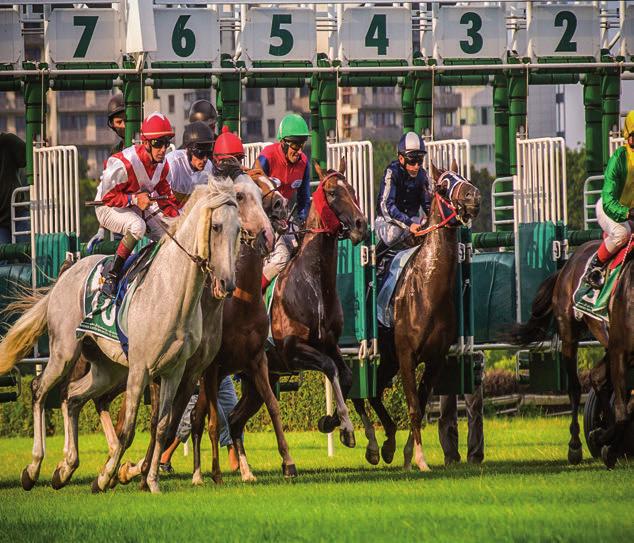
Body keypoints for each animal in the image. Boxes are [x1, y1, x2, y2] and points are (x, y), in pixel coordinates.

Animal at [350, 163, 478, 472]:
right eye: (443, 185)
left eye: (464, 178)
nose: (475, 197)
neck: (427, 291)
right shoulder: (407, 355)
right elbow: (412, 406)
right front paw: (420, 458)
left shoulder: (435, 359)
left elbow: (419, 404)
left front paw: (409, 454)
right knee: (360, 393)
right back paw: (374, 445)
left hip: (389, 359)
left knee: (374, 393)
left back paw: (387, 444)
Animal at [508, 238, 632, 468]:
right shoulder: (621, 350)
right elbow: (624, 411)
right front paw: (608, 447)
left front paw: (606, 442)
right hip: (569, 334)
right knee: (575, 388)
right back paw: (577, 445)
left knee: (598, 378)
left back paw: (602, 433)